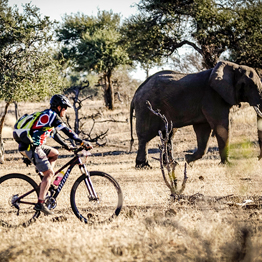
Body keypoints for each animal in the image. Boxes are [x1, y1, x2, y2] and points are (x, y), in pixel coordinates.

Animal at [131, 61, 262, 168]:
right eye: (250, 85)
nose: (258, 158)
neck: (233, 67)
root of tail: (136, 92)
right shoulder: (212, 96)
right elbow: (220, 125)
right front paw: (228, 164)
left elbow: (203, 130)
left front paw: (188, 159)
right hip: (146, 108)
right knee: (145, 136)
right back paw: (144, 166)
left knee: (168, 135)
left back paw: (172, 164)